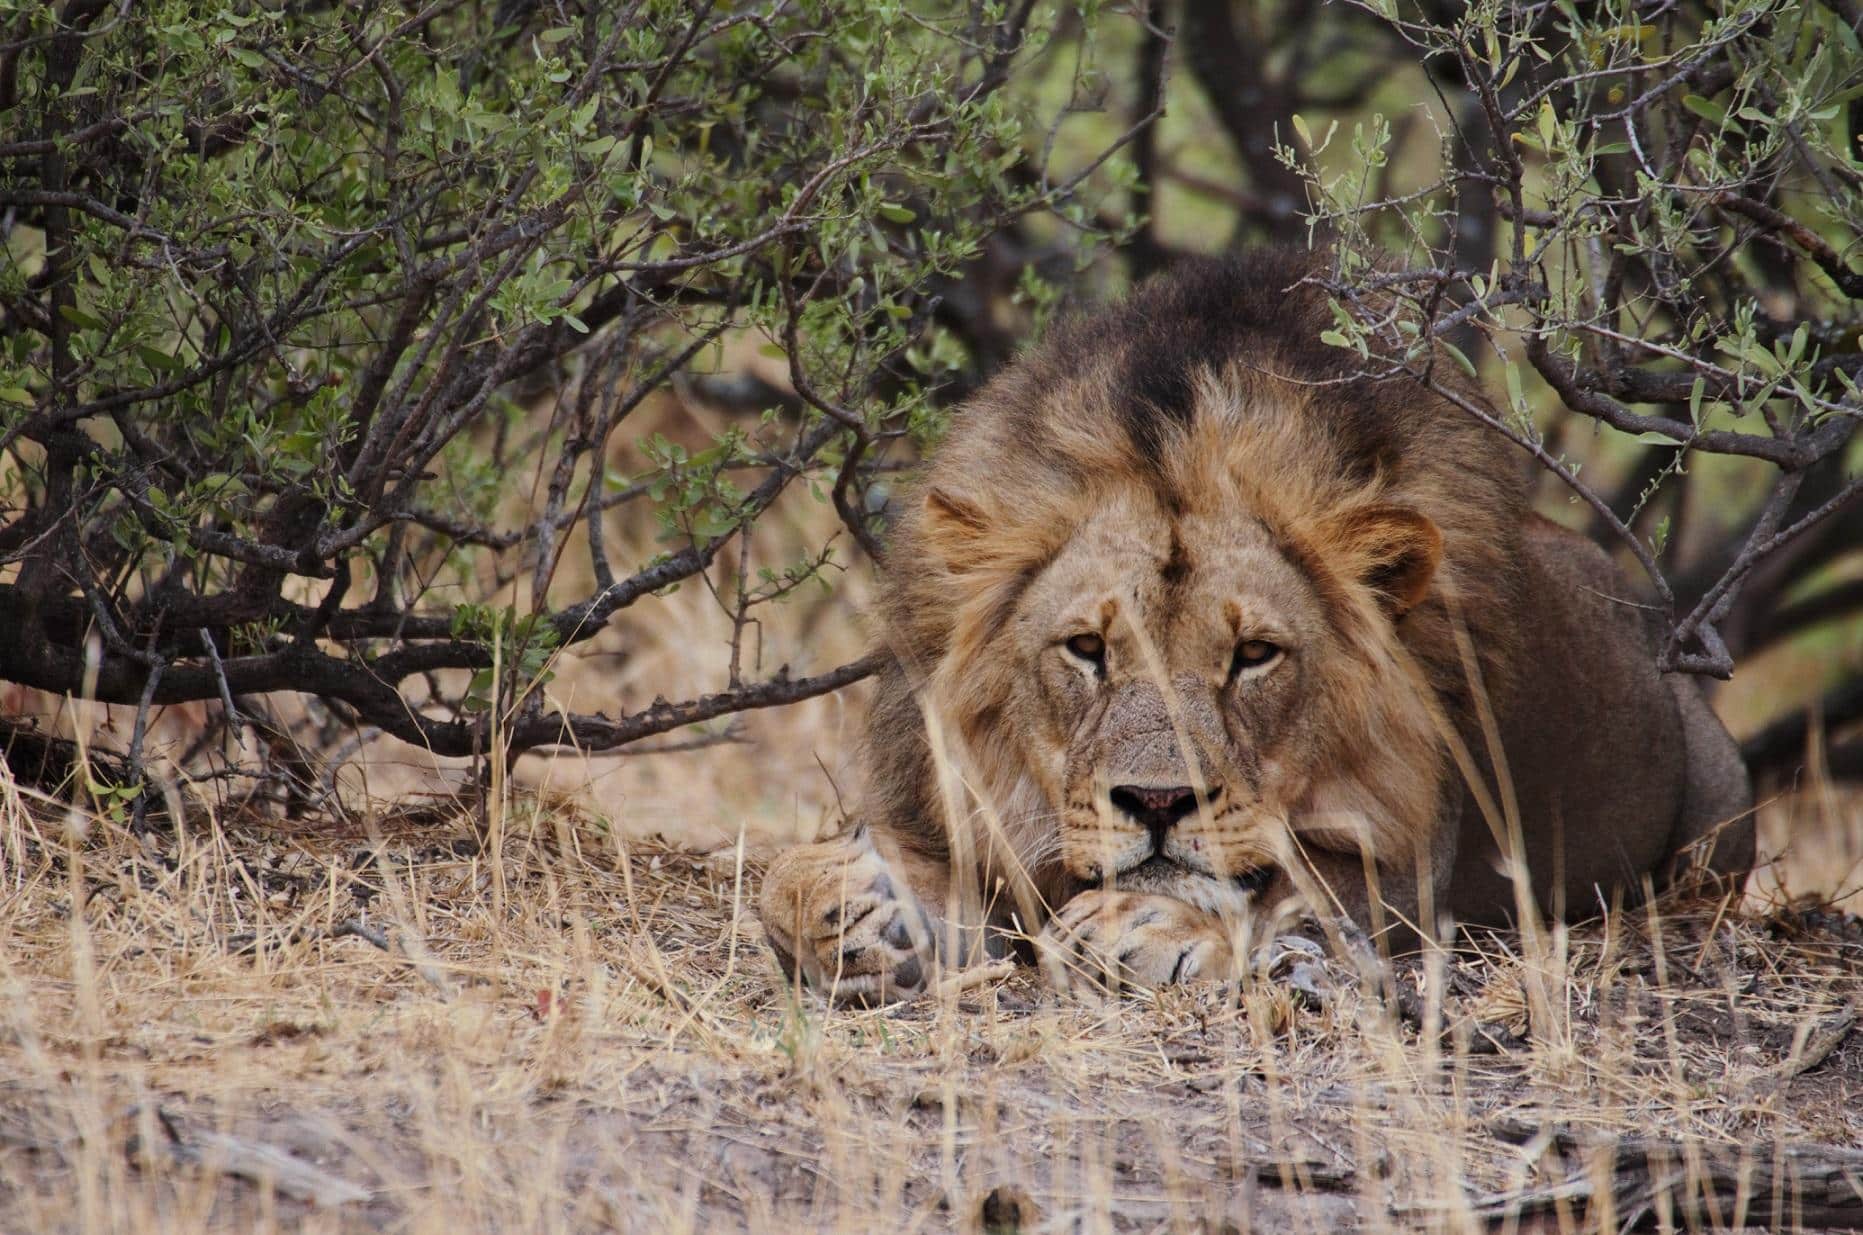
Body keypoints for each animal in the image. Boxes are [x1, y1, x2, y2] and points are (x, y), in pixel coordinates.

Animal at [760, 250, 1753, 1004]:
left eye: (1253, 656)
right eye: (1086, 649)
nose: (1157, 803)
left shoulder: (1405, 862)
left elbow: (1290, 882)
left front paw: (1142, 919)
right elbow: (783, 878)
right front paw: (856, 914)